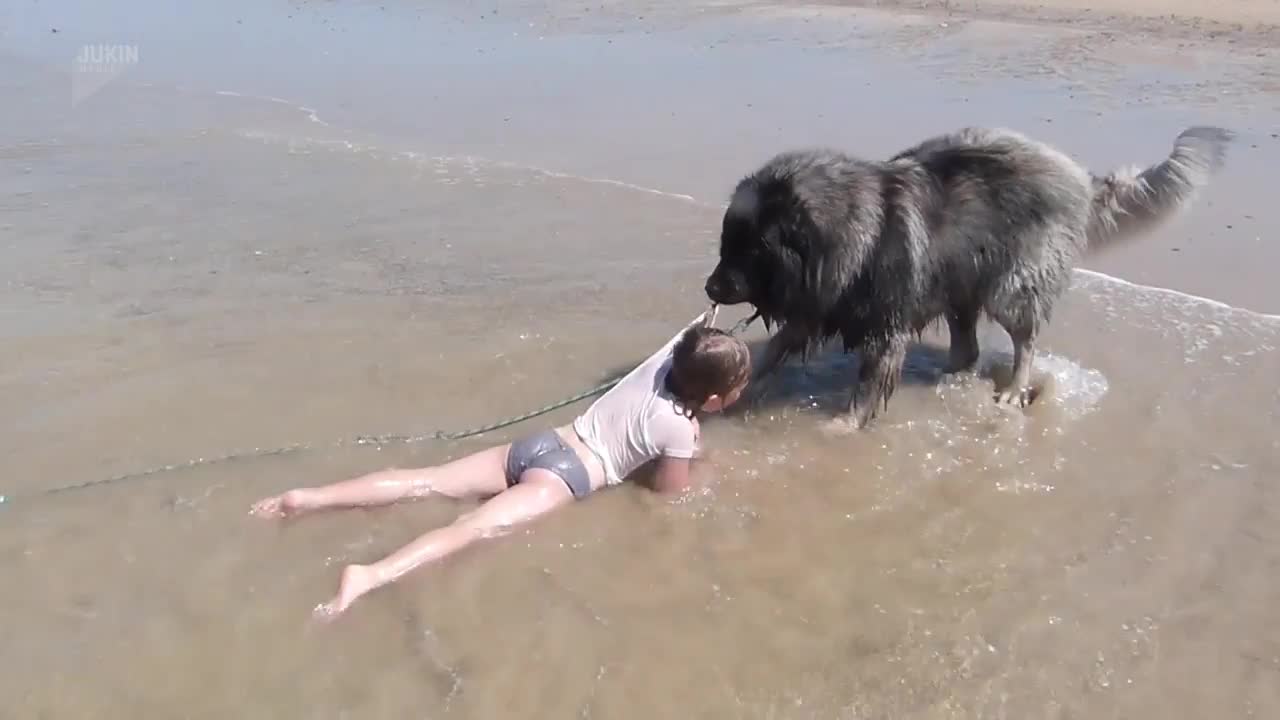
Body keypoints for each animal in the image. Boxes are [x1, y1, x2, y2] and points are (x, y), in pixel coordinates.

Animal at [706, 124, 1233, 425]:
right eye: (727, 246)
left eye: (749, 250)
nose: (709, 286)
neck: (849, 233)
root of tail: (1080, 177)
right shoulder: (817, 305)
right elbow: (775, 348)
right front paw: (742, 389)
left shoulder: (883, 325)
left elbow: (867, 385)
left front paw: (842, 427)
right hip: (959, 280)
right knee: (968, 347)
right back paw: (945, 376)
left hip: (1011, 285)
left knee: (1024, 341)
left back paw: (1014, 389)